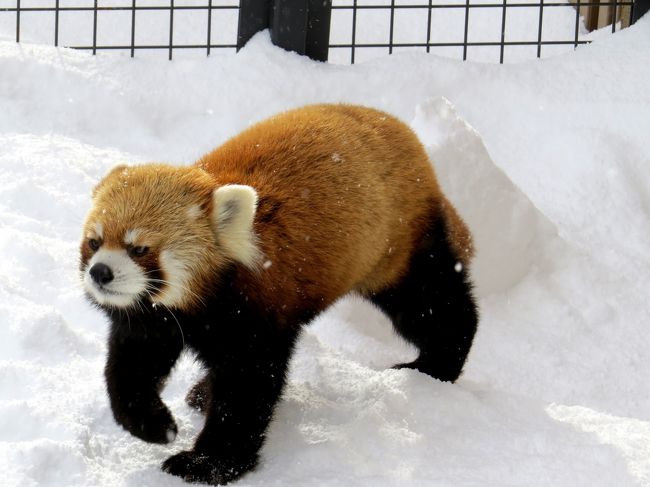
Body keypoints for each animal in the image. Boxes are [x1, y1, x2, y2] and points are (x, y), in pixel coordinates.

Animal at [79, 105, 476, 486]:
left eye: (140, 249)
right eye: (94, 242)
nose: (100, 272)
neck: (194, 308)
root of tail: (403, 131)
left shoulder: (255, 313)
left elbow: (247, 389)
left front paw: (208, 463)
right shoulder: (151, 320)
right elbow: (131, 367)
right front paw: (153, 424)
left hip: (395, 243)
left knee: (433, 304)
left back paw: (435, 366)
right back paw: (202, 392)